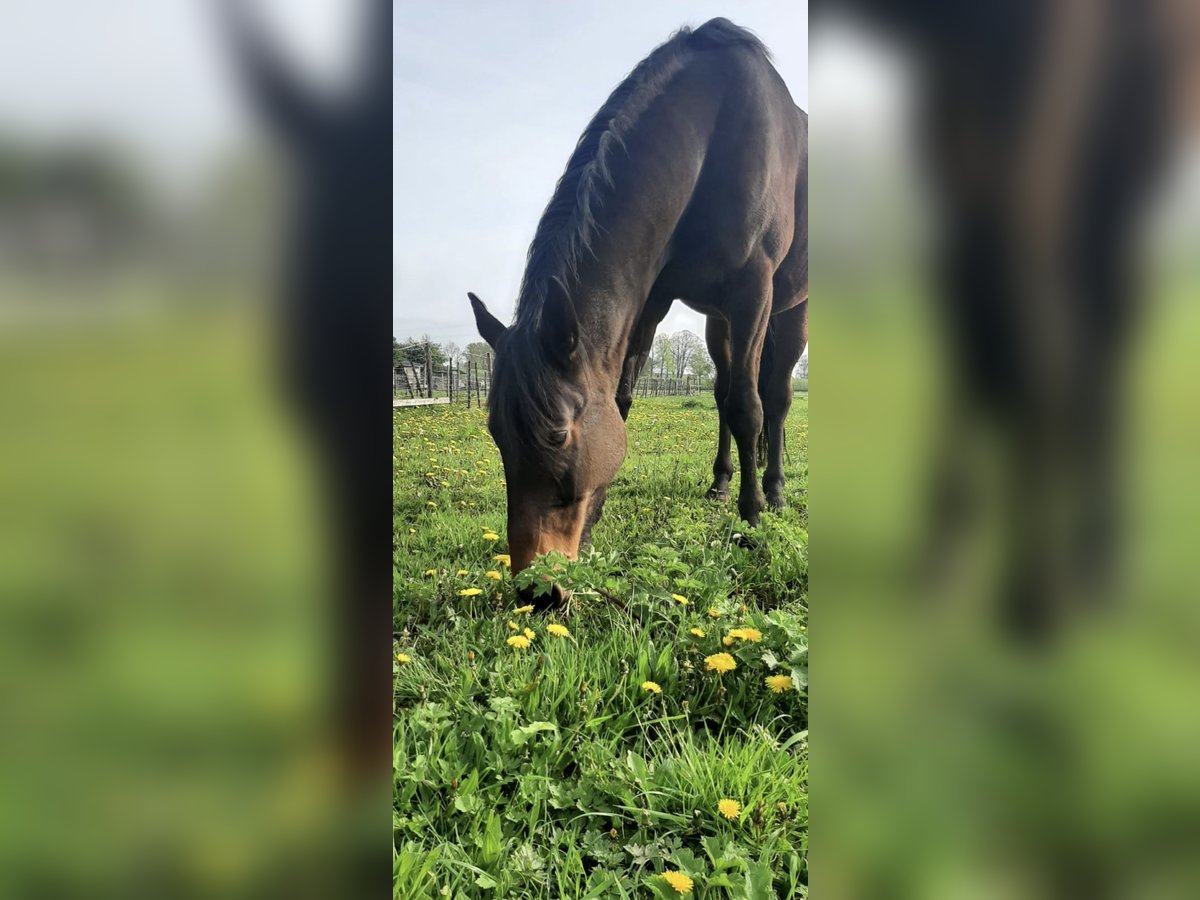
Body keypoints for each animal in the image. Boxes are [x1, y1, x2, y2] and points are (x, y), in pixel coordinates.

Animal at [465, 17, 806, 600]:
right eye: (495, 433)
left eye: (557, 434)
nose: (536, 591)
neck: (715, 131)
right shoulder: (653, 299)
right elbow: (624, 398)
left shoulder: (753, 290)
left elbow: (750, 406)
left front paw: (754, 520)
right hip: (718, 322)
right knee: (723, 394)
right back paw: (722, 482)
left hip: (787, 311)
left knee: (774, 398)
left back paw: (774, 490)